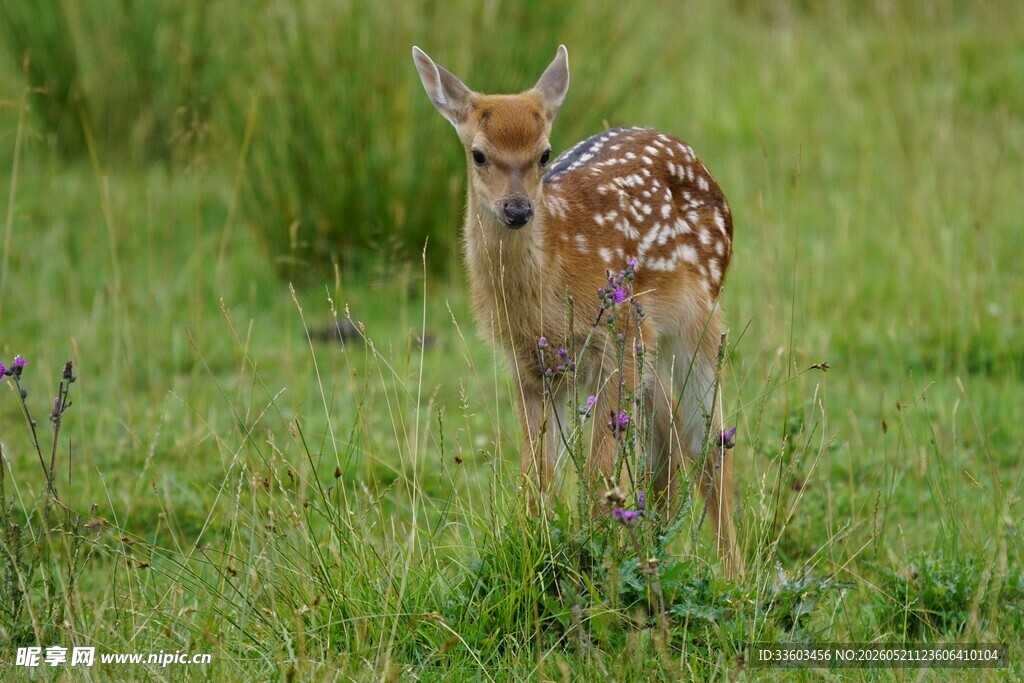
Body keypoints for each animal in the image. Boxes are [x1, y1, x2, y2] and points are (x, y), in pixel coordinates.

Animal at [412, 45, 742, 574]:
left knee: (712, 445)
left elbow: (596, 479)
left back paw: (735, 577)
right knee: (669, 432)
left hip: (699, 319)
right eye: (478, 154)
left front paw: (595, 563)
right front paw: (542, 556)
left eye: (545, 153)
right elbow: (536, 481)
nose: (518, 210)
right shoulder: (527, 365)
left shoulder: (616, 342)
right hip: (649, 347)